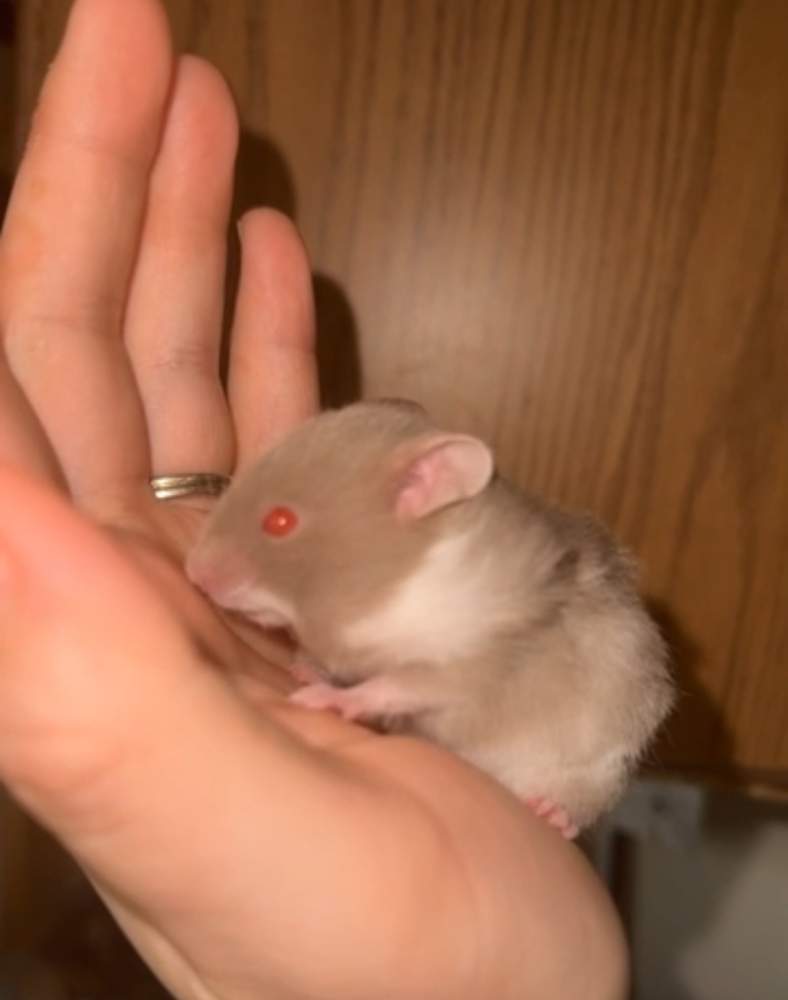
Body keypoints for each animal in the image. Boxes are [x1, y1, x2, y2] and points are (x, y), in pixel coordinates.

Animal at [186, 400, 674, 836]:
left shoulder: (471, 661)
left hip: (599, 767)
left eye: (280, 521)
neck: (400, 581)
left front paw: (328, 699)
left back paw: (551, 813)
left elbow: (398, 684)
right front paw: (306, 669)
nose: (194, 573)